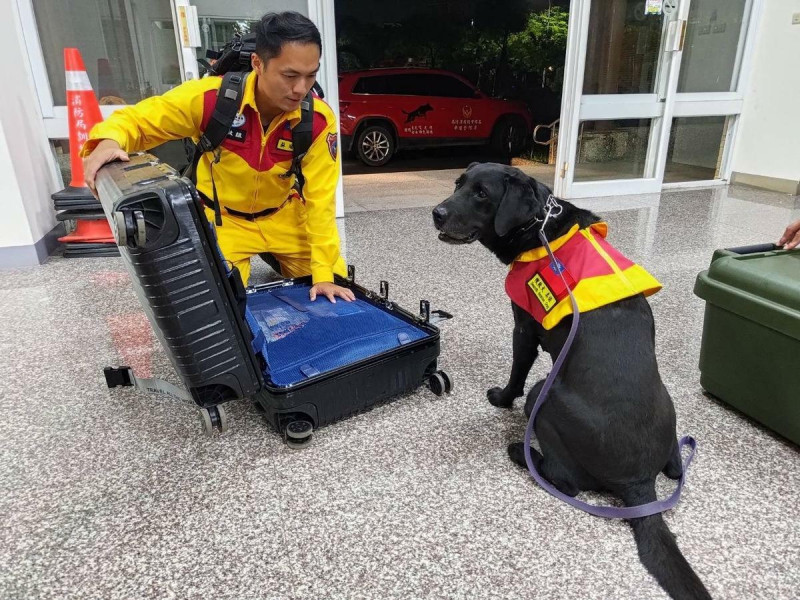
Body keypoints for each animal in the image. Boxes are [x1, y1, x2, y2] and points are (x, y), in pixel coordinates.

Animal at [434, 162, 708, 596]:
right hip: (670, 415)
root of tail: (639, 483)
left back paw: (521, 454)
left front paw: (500, 398)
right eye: (458, 184)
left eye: (481, 194)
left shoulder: (524, 327)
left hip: (542, 398)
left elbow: (516, 371)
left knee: (566, 481)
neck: (540, 226)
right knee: (677, 467)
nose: (437, 213)